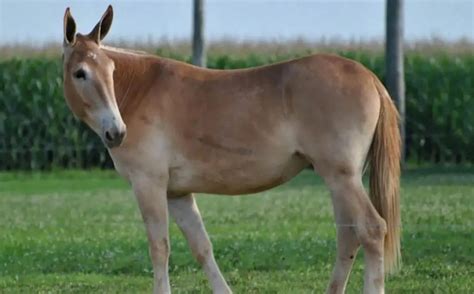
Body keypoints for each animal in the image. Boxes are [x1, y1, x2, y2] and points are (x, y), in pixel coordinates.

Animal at [59, 5, 400, 294]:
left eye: (111, 71)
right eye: (80, 73)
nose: (116, 132)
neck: (140, 91)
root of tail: (371, 78)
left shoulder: (149, 184)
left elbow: (159, 247)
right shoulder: (177, 193)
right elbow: (202, 248)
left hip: (343, 178)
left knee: (372, 229)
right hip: (339, 180)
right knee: (348, 237)